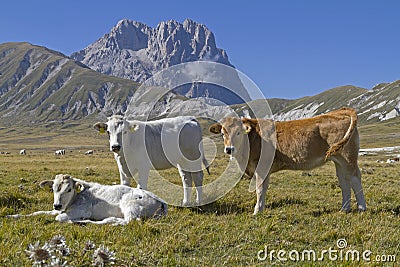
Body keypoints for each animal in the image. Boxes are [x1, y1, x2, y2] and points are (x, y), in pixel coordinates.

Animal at [7, 175, 167, 225]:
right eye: (53, 188)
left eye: (69, 189)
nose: (57, 205)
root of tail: (161, 201)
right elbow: (37, 213)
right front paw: (12, 216)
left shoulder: (78, 211)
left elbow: (59, 218)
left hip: (129, 205)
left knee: (128, 221)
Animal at [211, 108, 368, 215]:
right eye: (223, 133)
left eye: (238, 132)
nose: (229, 149)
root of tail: (339, 112)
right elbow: (263, 189)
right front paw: (261, 208)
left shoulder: (261, 168)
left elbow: (259, 189)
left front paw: (257, 211)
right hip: (338, 159)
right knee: (344, 180)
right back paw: (344, 209)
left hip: (348, 157)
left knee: (355, 178)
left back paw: (362, 208)